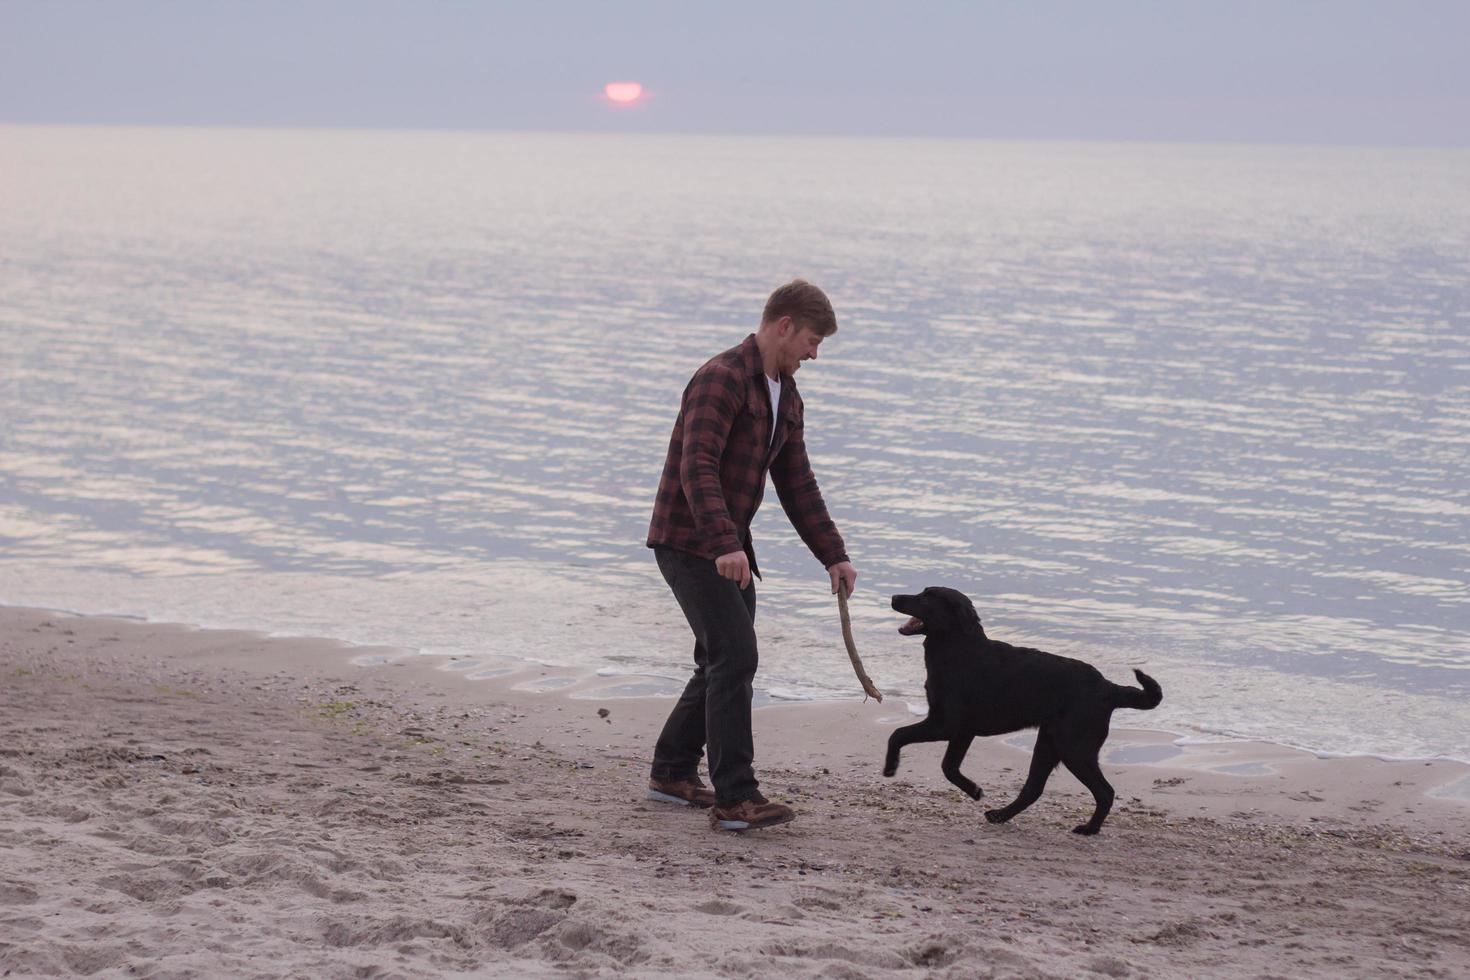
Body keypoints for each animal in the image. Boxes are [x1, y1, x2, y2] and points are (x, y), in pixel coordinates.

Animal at [882, 590, 1158, 834]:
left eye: (926, 598)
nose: (894, 597)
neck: (958, 648)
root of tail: (1108, 687)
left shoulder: (945, 723)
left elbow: (897, 734)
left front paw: (890, 767)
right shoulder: (962, 731)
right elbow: (948, 767)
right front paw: (974, 790)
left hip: (1074, 749)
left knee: (1104, 792)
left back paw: (1089, 829)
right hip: (1049, 743)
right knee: (1033, 788)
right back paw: (1000, 815)